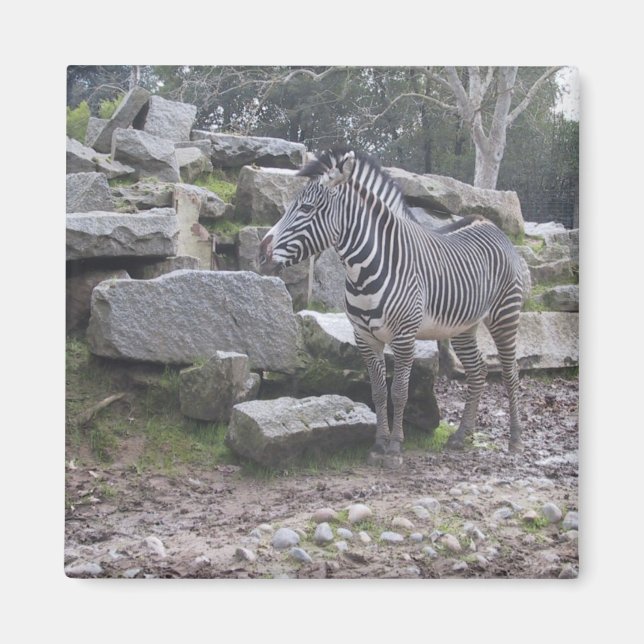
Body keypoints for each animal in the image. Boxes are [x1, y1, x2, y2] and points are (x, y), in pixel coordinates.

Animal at [259, 148, 526, 467]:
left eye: (307, 209)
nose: (261, 253)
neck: (364, 269)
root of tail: (489, 223)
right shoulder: (364, 337)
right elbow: (377, 392)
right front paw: (378, 445)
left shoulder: (404, 336)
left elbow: (399, 392)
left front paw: (396, 446)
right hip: (464, 325)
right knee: (478, 371)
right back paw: (462, 436)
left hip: (505, 315)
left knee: (510, 372)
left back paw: (515, 439)